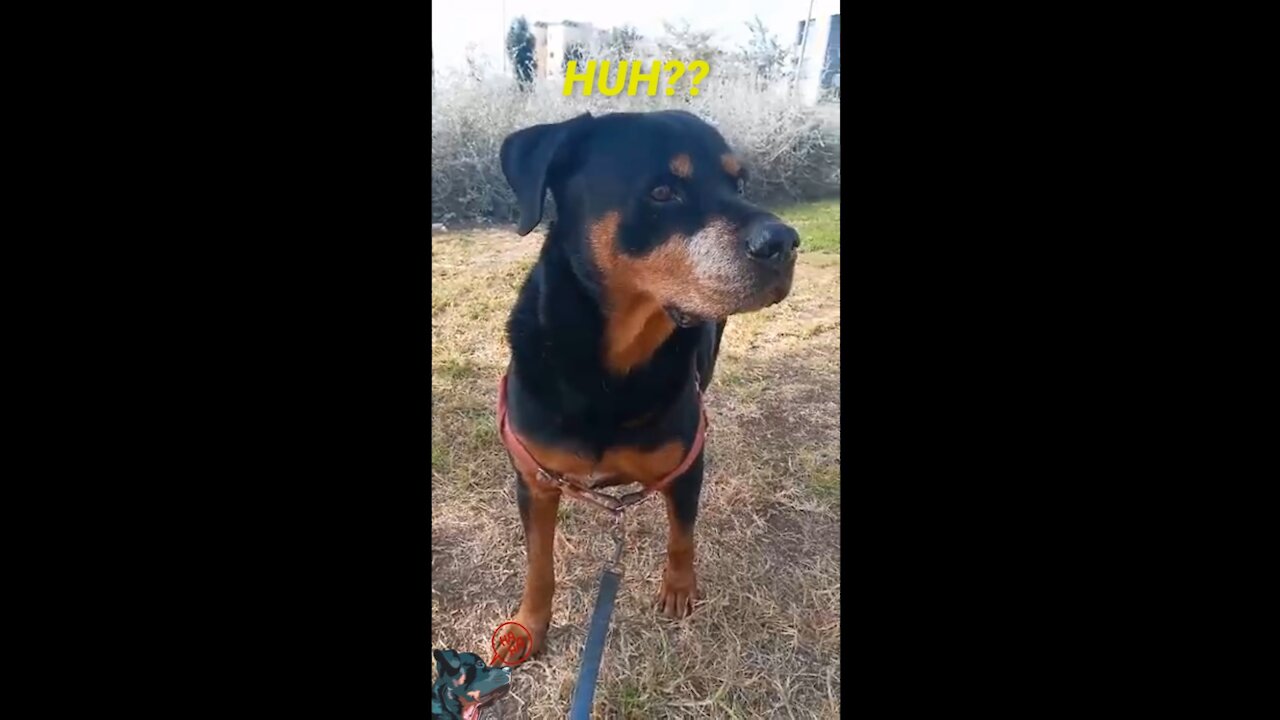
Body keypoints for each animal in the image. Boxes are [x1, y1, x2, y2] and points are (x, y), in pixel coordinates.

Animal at [491, 109, 798, 661]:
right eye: (661, 191)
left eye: (738, 182)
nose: (784, 242)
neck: (608, 372)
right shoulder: (534, 480)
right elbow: (539, 563)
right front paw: (528, 626)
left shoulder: (686, 464)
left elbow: (682, 534)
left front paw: (678, 589)